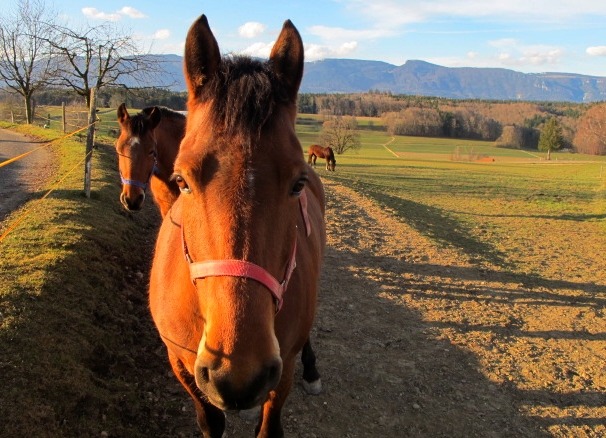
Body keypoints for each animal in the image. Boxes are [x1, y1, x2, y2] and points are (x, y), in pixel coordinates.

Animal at [148, 15, 328, 436]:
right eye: (182, 181)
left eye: (297, 184)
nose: (239, 373)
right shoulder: (181, 364)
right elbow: (209, 419)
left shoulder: (281, 370)